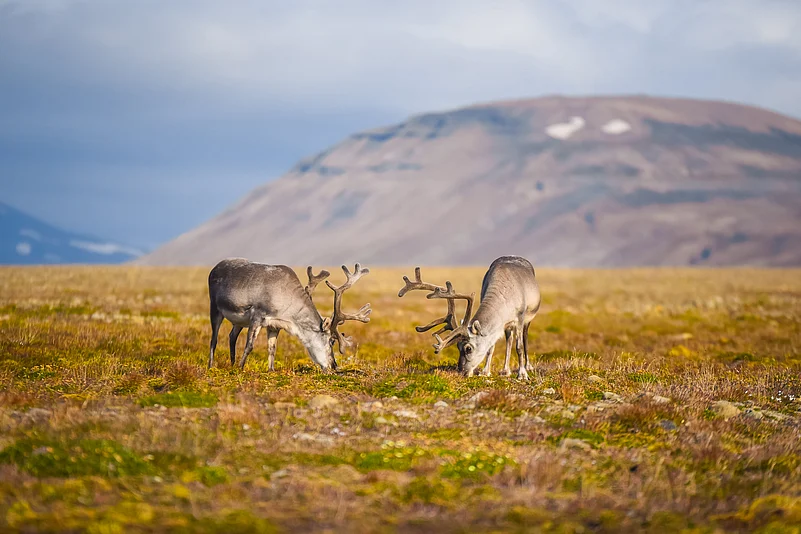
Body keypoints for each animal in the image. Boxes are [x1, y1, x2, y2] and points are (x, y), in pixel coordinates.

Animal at [207, 258, 371, 371]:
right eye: (331, 341)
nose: (334, 366)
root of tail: (214, 268)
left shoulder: (274, 325)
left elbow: (272, 348)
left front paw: (271, 370)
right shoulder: (257, 316)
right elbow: (249, 345)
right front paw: (240, 368)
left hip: (239, 321)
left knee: (231, 336)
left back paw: (232, 363)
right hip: (215, 308)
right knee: (214, 339)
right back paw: (211, 366)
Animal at [399, 256, 541, 379]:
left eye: (468, 348)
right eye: (457, 346)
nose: (461, 372)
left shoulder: (520, 318)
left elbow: (519, 347)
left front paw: (522, 374)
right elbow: (490, 347)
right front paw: (485, 371)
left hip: (528, 319)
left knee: (524, 338)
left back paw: (528, 366)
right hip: (507, 326)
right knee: (509, 339)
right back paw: (505, 370)